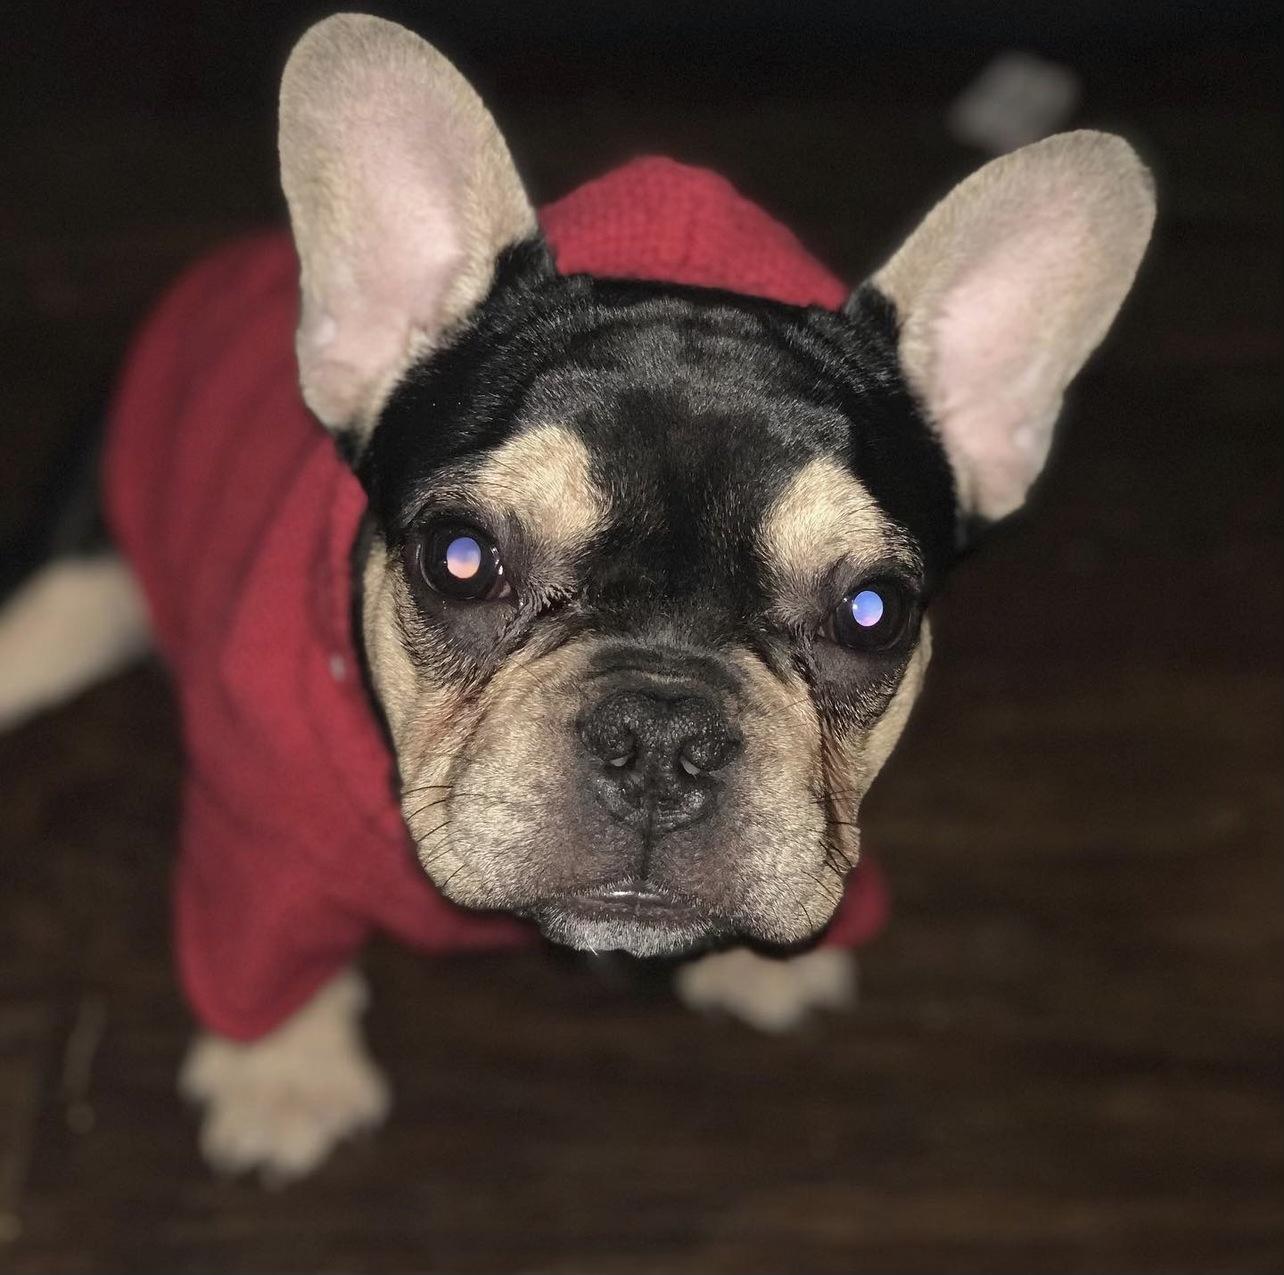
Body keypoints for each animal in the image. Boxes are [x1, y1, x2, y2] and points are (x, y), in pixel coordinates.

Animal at [0, 14, 1153, 1182]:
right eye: (461, 558)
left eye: (873, 612)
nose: (660, 737)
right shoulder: (258, 835)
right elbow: (265, 950)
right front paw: (281, 1069)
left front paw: (775, 958)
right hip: (74, 580)